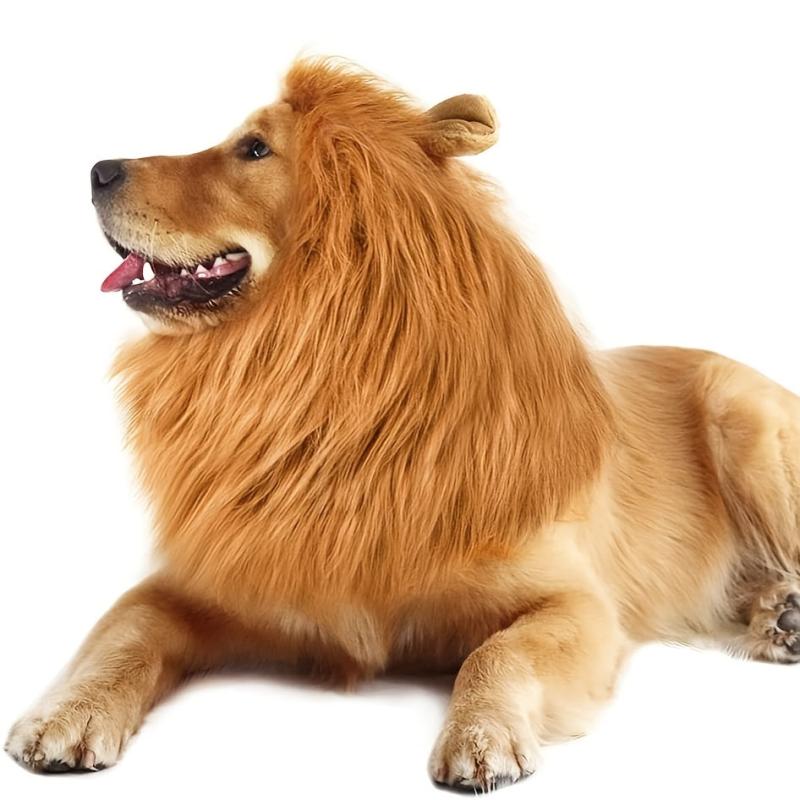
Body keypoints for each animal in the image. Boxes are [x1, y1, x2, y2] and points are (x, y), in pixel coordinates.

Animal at [5, 58, 800, 791]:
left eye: (254, 148)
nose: (98, 169)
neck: (322, 408)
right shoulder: (198, 580)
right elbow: (121, 633)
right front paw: (67, 713)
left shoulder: (577, 603)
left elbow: (496, 652)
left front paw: (481, 736)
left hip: (740, 416)